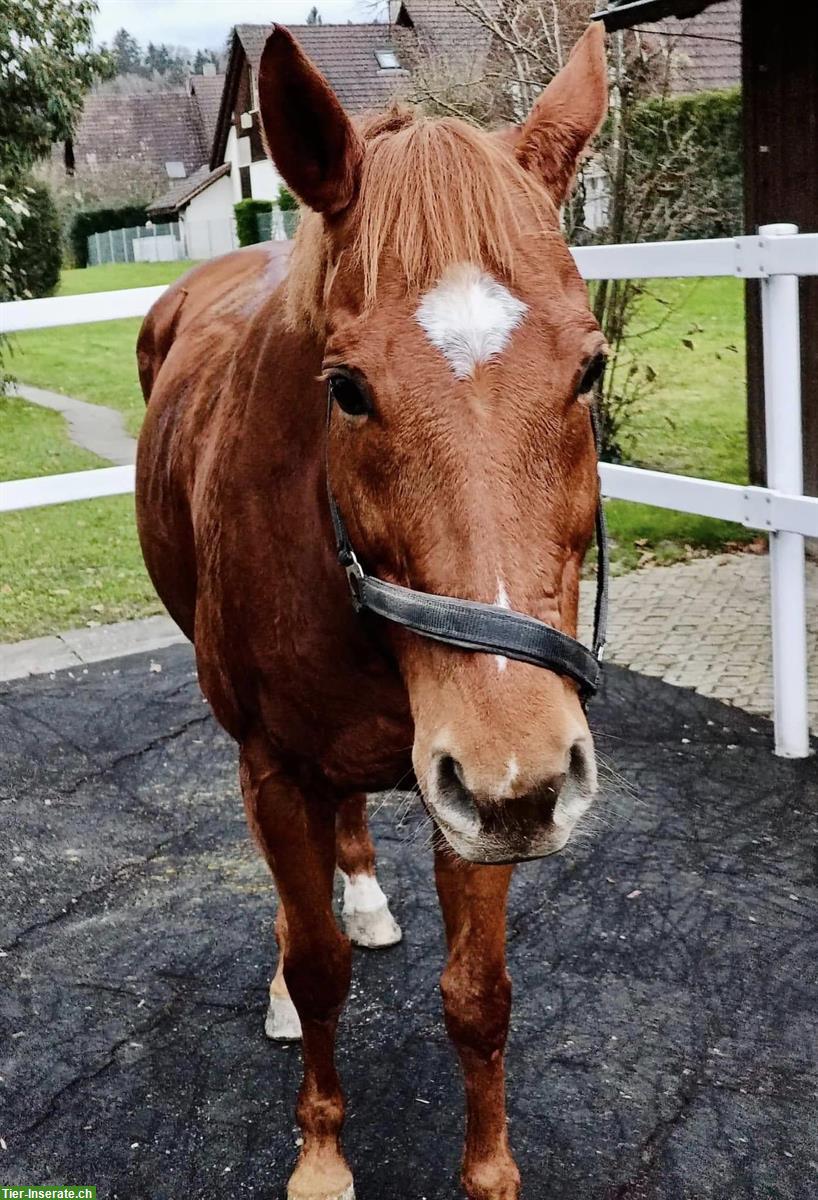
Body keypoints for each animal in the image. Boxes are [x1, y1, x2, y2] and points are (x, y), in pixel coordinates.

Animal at [135, 21, 604, 1200]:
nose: (525, 770)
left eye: (589, 368)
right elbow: (317, 971)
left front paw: (489, 1173)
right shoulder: (282, 768)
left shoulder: (478, 791)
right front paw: (320, 1156)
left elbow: (477, 997)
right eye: (344, 387)